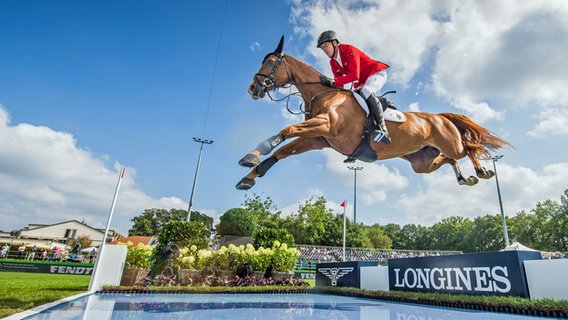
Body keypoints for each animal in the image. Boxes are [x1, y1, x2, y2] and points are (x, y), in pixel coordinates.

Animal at [234, 35, 510, 190]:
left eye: (270, 62)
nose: (252, 88)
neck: (320, 93)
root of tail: (440, 117)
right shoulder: (316, 139)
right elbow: (281, 152)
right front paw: (249, 176)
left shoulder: (325, 125)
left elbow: (286, 130)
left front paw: (252, 155)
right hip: (422, 163)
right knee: (449, 159)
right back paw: (464, 178)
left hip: (451, 143)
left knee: (468, 148)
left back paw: (482, 171)